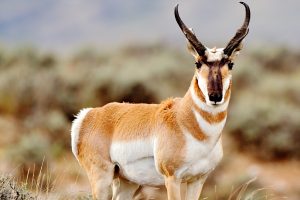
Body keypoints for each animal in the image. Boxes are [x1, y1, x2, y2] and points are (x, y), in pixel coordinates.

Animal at [71, 1, 251, 200]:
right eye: (197, 63)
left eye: (230, 64)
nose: (215, 96)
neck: (187, 121)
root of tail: (88, 115)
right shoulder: (172, 178)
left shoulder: (197, 180)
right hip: (102, 178)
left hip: (127, 182)